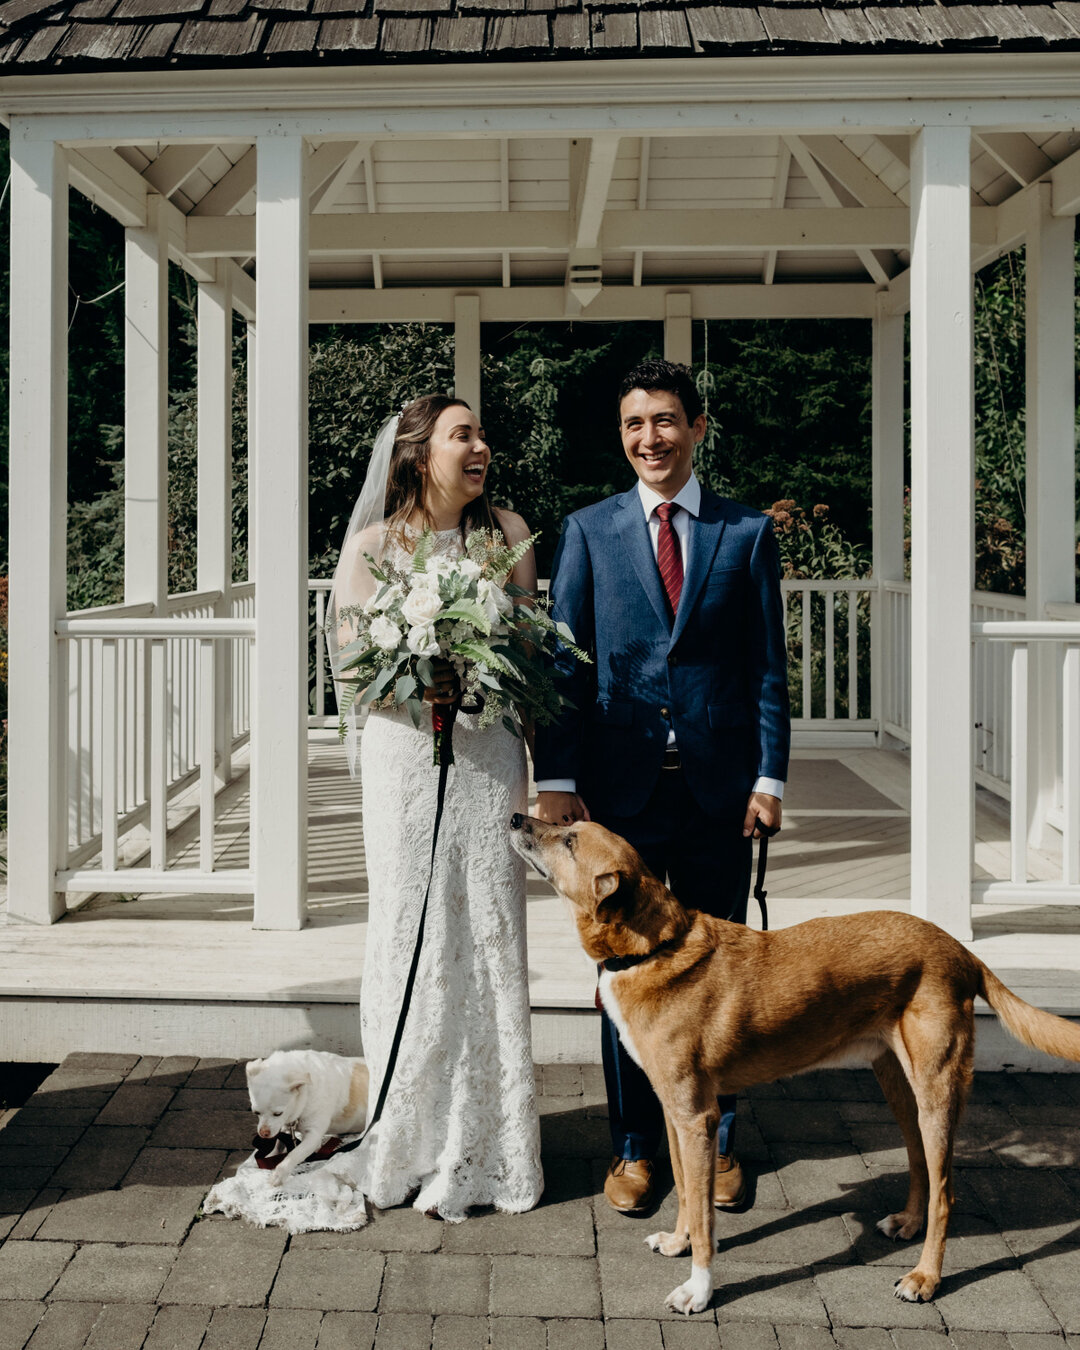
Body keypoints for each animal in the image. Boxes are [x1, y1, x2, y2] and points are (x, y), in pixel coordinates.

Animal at [245, 1047, 372, 1188]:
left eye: (278, 1113)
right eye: (256, 1112)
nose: (264, 1133)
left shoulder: (313, 1136)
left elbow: (294, 1154)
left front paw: (278, 1174)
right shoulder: (283, 1127)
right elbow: (278, 1144)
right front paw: (272, 1157)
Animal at [510, 810, 1080, 1317]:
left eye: (569, 841)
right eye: (565, 824)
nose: (516, 818)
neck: (655, 948)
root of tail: (962, 951)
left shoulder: (697, 1117)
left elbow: (706, 1217)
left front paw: (699, 1289)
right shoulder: (674, 1112)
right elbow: (688, 1194)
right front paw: (677, 1241)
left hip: (937, 1094)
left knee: (947, 1193)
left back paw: (924, 1277)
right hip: (902, 1091)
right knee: (921, 1165)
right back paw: (907, 1223)